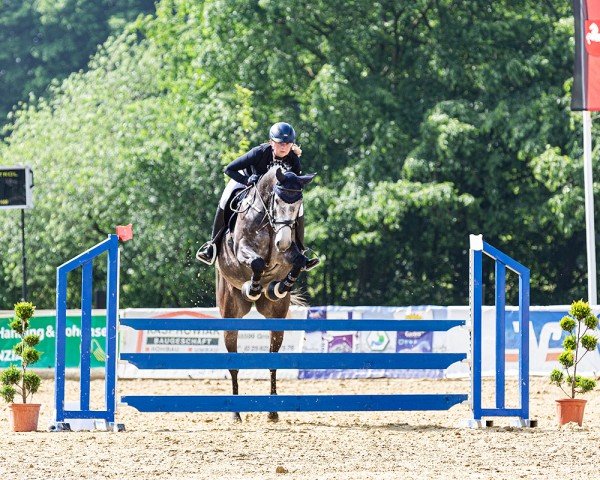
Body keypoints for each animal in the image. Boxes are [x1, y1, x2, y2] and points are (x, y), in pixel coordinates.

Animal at [217, 164, 318, 420]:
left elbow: (298, 261)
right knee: (233, 363)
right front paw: (252, 286)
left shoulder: (289, 253)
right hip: (230, 314)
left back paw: (273, 412)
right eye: (277, 200)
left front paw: (280, 286)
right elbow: (256, 263)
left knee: (273, 359)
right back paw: (236, 413)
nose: (282, 242)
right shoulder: (243, 249)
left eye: (298, 206)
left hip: (276, 317)